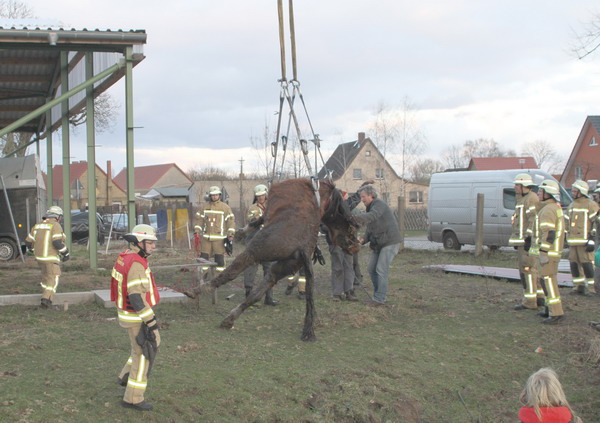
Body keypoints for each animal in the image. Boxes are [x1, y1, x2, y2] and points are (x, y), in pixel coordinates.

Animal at [185, 178, 358, 342]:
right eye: (350, 228)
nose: (354, 246)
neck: (317, 195)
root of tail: (301, 247)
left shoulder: (265, 216)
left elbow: (255, 222)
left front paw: (240, 232)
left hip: (255, 252)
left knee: (231, 273)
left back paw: (196, 292)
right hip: (280, 268)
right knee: (257, 292)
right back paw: (229, 319)